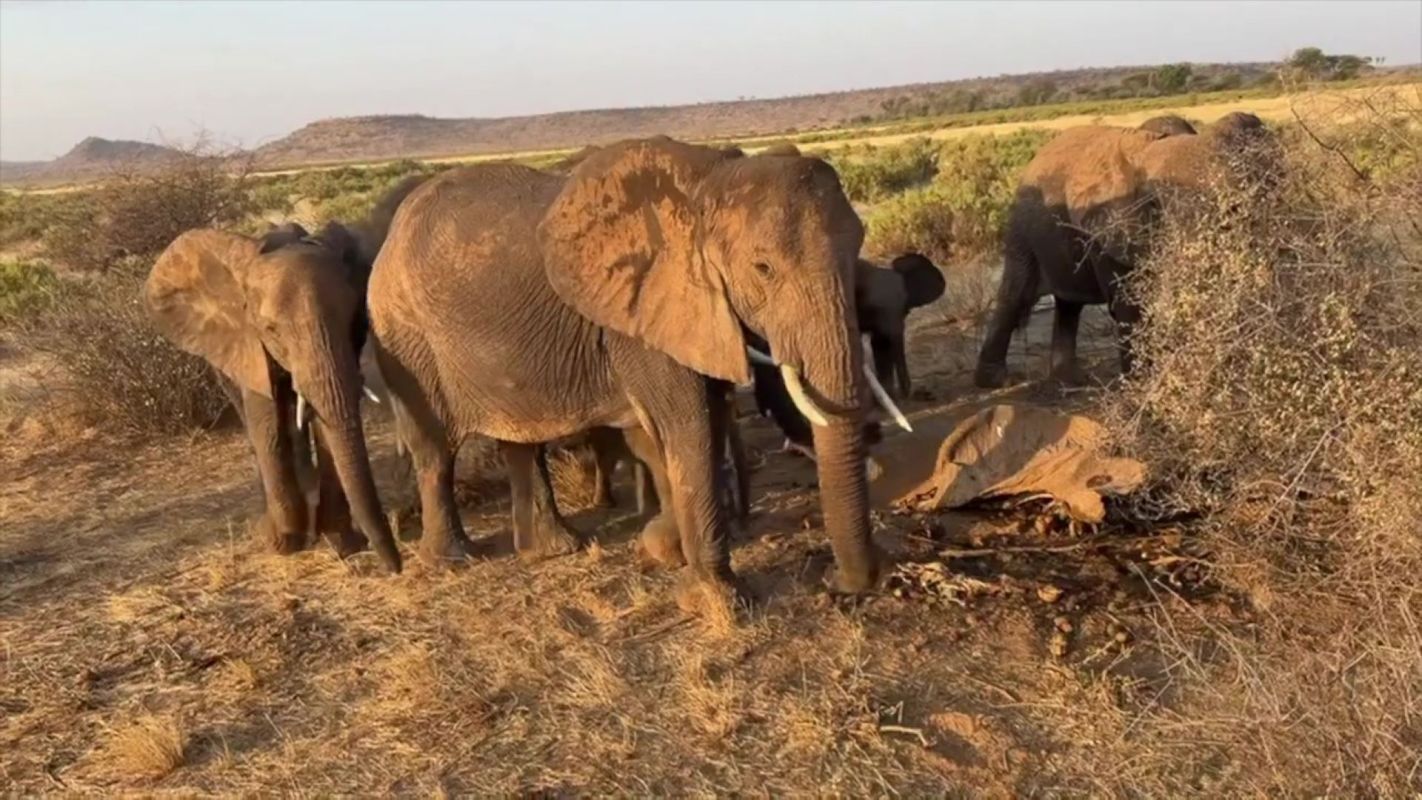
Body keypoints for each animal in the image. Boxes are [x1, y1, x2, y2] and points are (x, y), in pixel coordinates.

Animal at [143, 178, 427, 573]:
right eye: (271, 330)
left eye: (353, 317)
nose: (395, 567)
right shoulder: (249, 345)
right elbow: (268, 425)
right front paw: (282, 541)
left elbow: (326, 420)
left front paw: (342, 542)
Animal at [368, 136, 905, 609]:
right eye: (763, 268)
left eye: (858, 245)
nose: (843, 583)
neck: (709, 182)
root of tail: (390, 234)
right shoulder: (642, 314)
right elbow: (690, 428)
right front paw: (717, 602)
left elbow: (688, 426)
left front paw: (666, 549)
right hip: (404, 335)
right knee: (434, 448)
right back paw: (452, 560)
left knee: (519, 443)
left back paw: (553, 549)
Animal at [974, 112, 1274, 388]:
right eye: (1155, 205)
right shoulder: (1104, 230)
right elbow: (1129, 304)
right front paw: (1139, 390)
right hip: (1022, 228)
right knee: (1016, 294)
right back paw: (995, 382)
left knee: (1069, 305)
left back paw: (1069, 380)